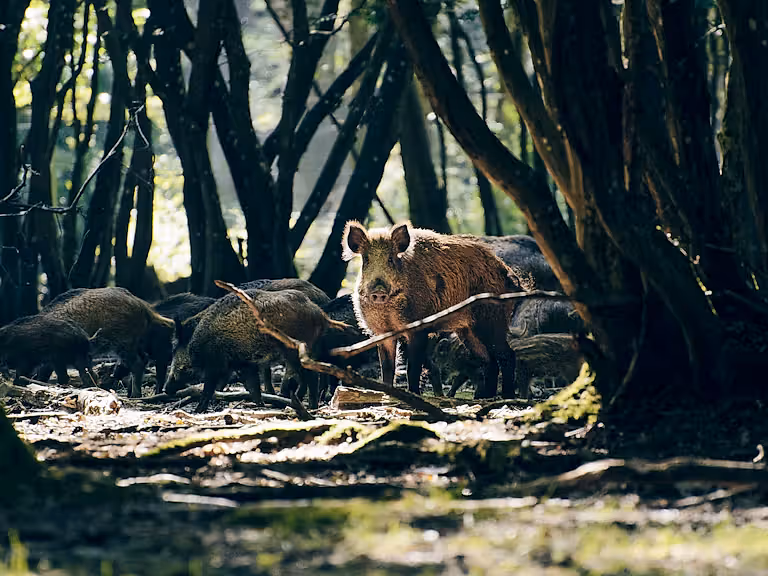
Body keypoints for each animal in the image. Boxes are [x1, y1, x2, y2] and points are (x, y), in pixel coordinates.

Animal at [165, 288, 345, 413]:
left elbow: (209, 388)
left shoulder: (216, 365)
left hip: (294, 350)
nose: (166, 389)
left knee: (311, 376)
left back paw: (311, 406)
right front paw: (260, 404)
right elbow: (252, 385)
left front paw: (198, 410)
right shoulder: (243, 363)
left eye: (175, 349)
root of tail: (319, 312)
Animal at [342, 220, 521, 399]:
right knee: (489, 361)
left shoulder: (418, 329)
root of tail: (509, 275)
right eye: (366, 259)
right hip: (468, 331)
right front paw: (388, 394)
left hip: (491, 321)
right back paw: (484, 397)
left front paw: (413, 394)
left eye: (390, 259)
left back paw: (507, 396)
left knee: (507, 355)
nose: (379, 290)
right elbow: (387, 367)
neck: (388, 314)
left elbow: (412, 368)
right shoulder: (381, 333)